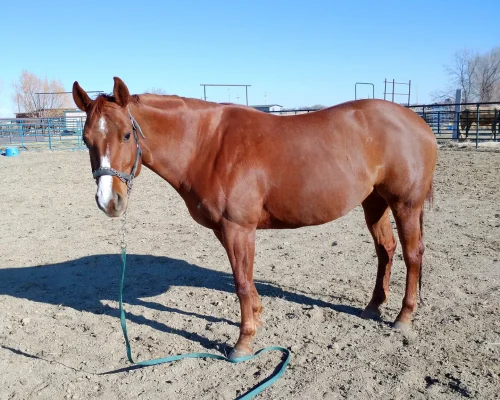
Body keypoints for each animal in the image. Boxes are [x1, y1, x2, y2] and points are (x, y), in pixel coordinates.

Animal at [72, 76, 436, 358]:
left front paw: (242, 343)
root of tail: (419, 122)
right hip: (374, 203)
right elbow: (245, 278)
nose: (109, 201)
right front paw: (258, 320)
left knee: (412, 254)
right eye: (86, 139)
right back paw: (373, 306)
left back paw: (403, 317)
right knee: (385, 250)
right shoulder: (227, 231)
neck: (207, 144)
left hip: (405, 204)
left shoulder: (238, 229)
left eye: (126, 135)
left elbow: (242, 283)